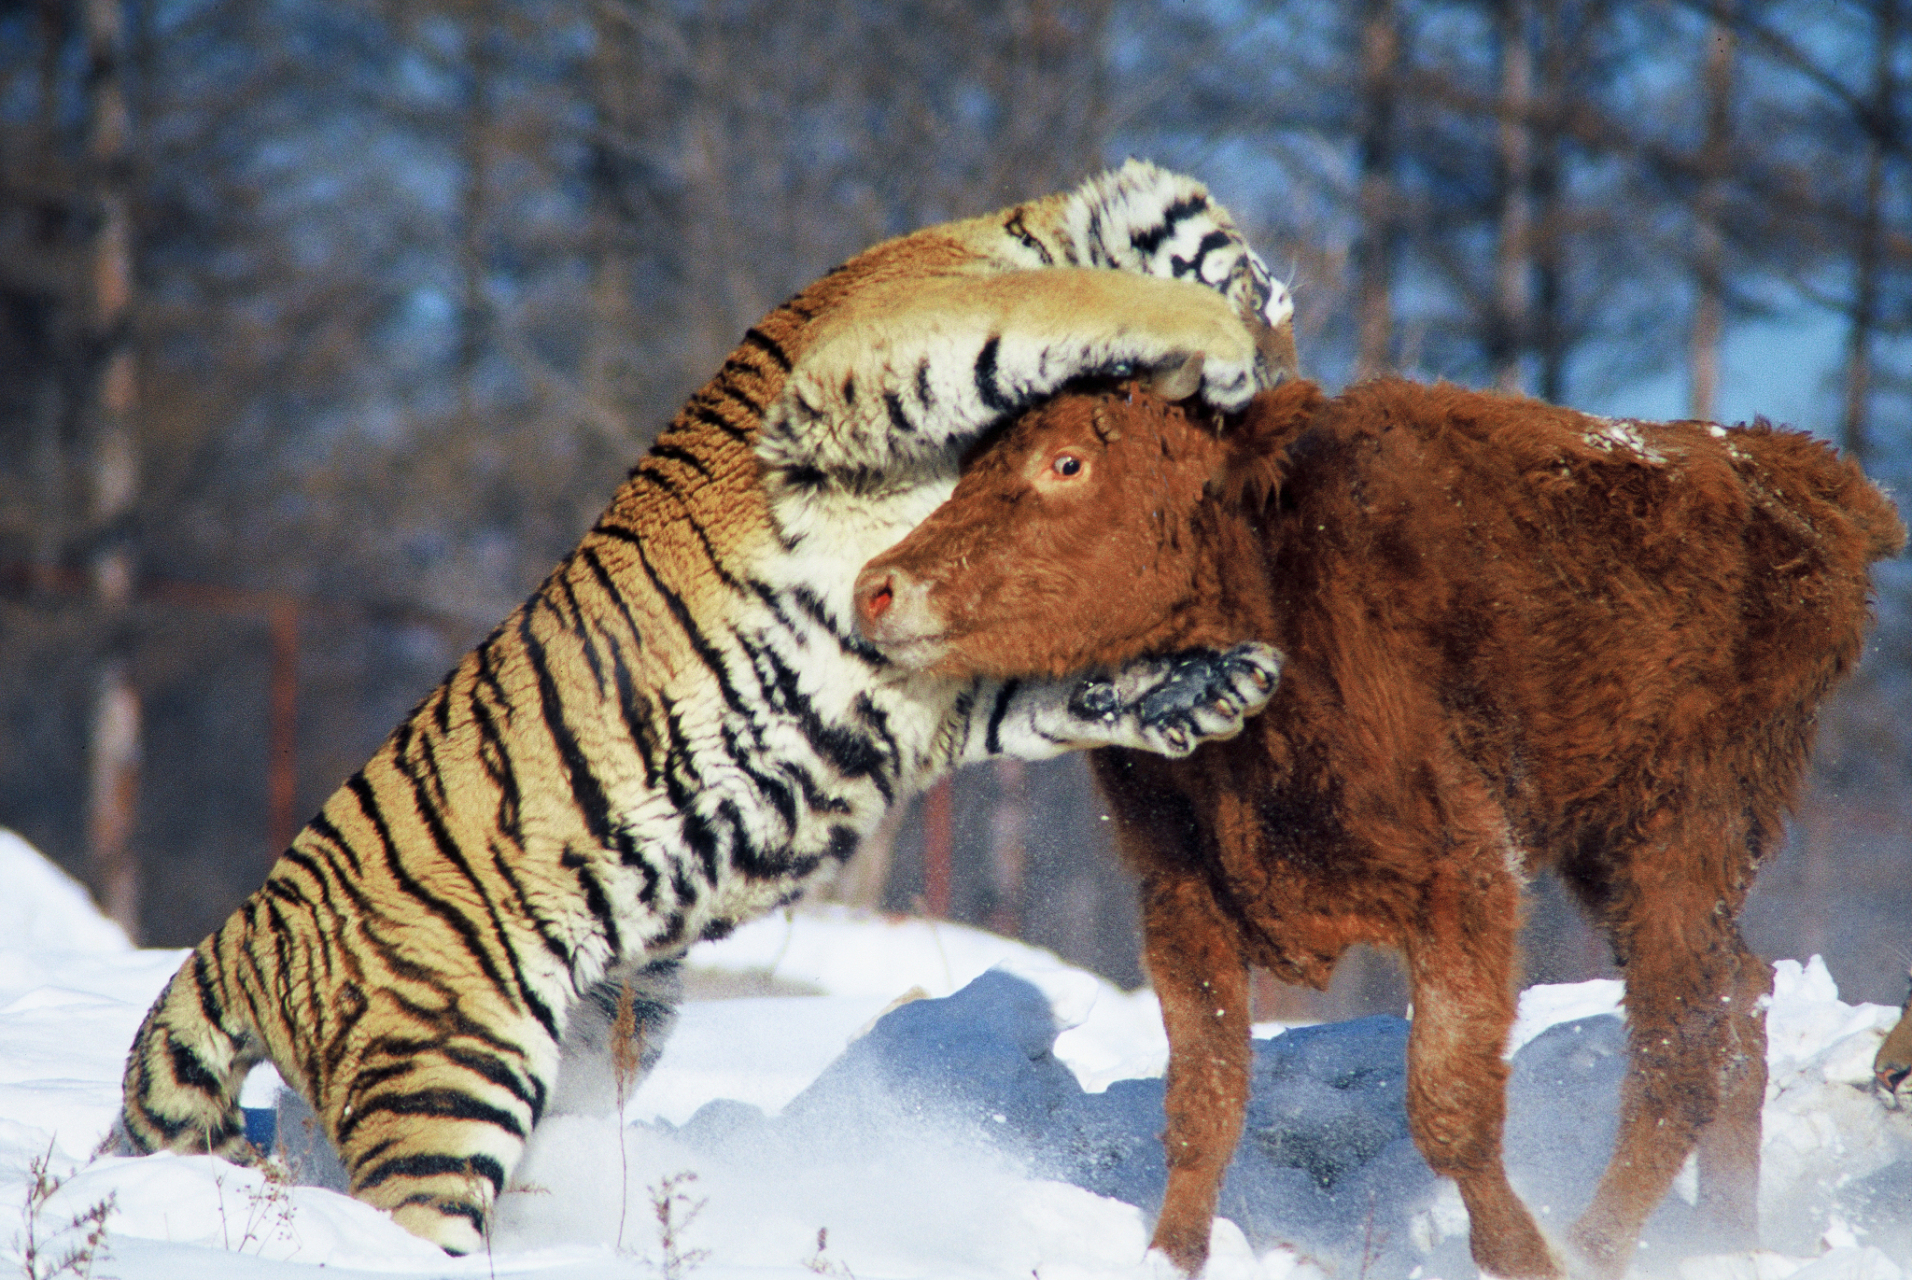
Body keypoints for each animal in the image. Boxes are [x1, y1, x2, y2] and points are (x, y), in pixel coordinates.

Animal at [119, 162, 1300, 1247]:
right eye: (1263, 284)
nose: (1288, 372)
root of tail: (239, 931)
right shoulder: (877, 350)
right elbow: (1081, 300)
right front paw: (1216, 340)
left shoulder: (944, 659)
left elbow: (1053, 691)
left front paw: (1211, 681)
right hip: (447, 1070)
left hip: (593, 1042)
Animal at [860, 378, 1904, 1278]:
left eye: (1068, 463)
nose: (879, 586)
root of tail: (1799, 474)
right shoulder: (1182, 901)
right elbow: (1204, 1103)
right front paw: (1167, 1256)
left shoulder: (1467, 879)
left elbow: (1449, 1106)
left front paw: (1521, 1258)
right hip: (1622, 852)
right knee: (1739, 994)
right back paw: (1727, 1237)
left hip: (1680, 830)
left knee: (1680, 1040)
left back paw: (1597, 1245)